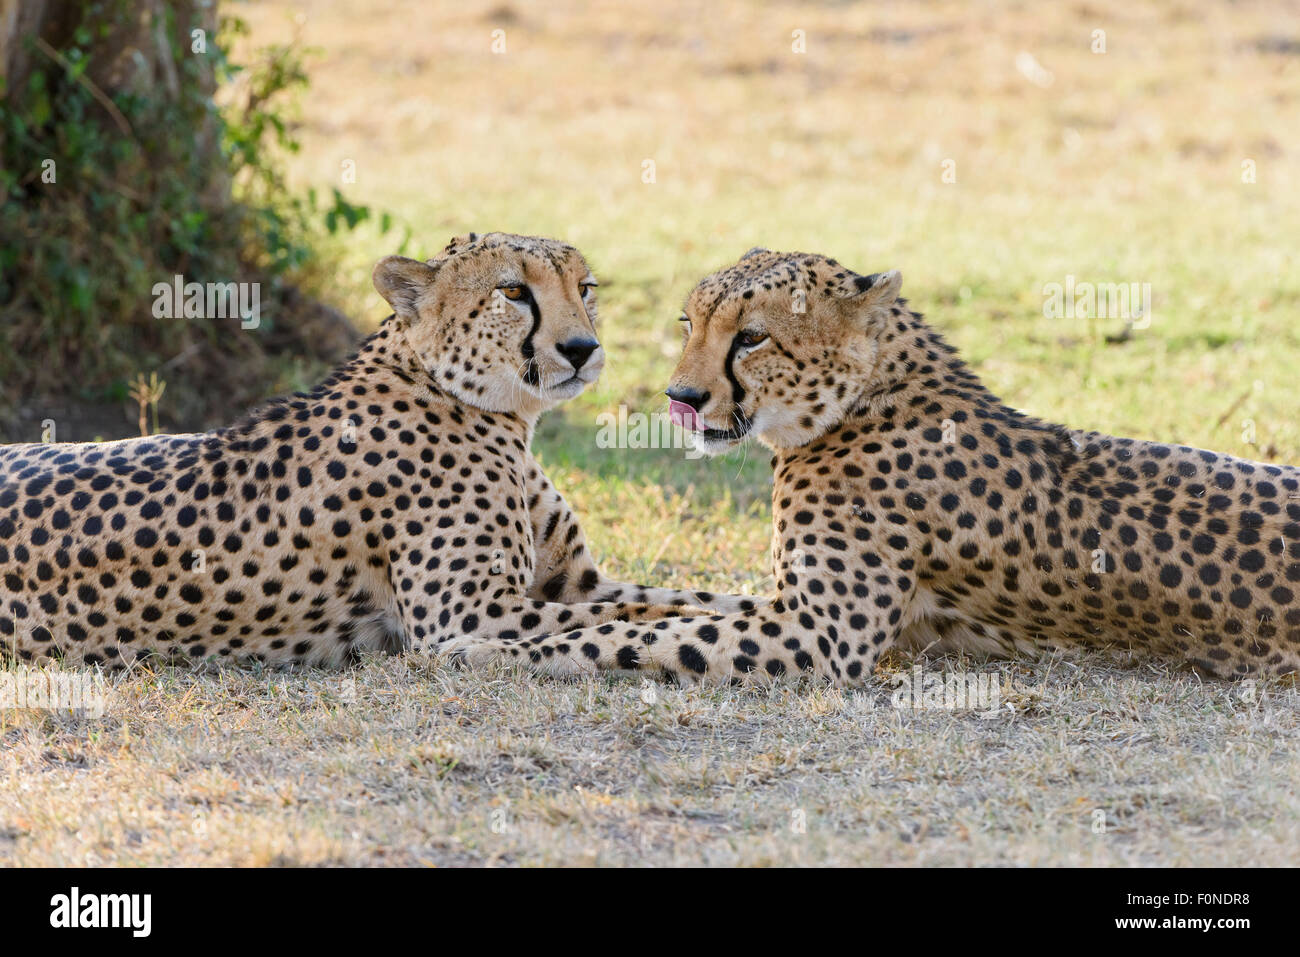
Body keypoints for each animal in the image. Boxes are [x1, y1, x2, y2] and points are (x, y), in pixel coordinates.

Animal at [0, 232, 759, 670]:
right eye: (513, 291)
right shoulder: (473, 612)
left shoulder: (572, 582)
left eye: (586, 288)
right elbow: (628, 619)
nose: (583, 348)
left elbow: (689, 596)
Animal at [452, 247, 1300, 681]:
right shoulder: (789, 604)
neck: (866, 397)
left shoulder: (820, 636)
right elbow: (675, 610)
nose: (682, 397)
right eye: (690, 322)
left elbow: (641, 637)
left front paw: (495, 647)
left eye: (751, 337)